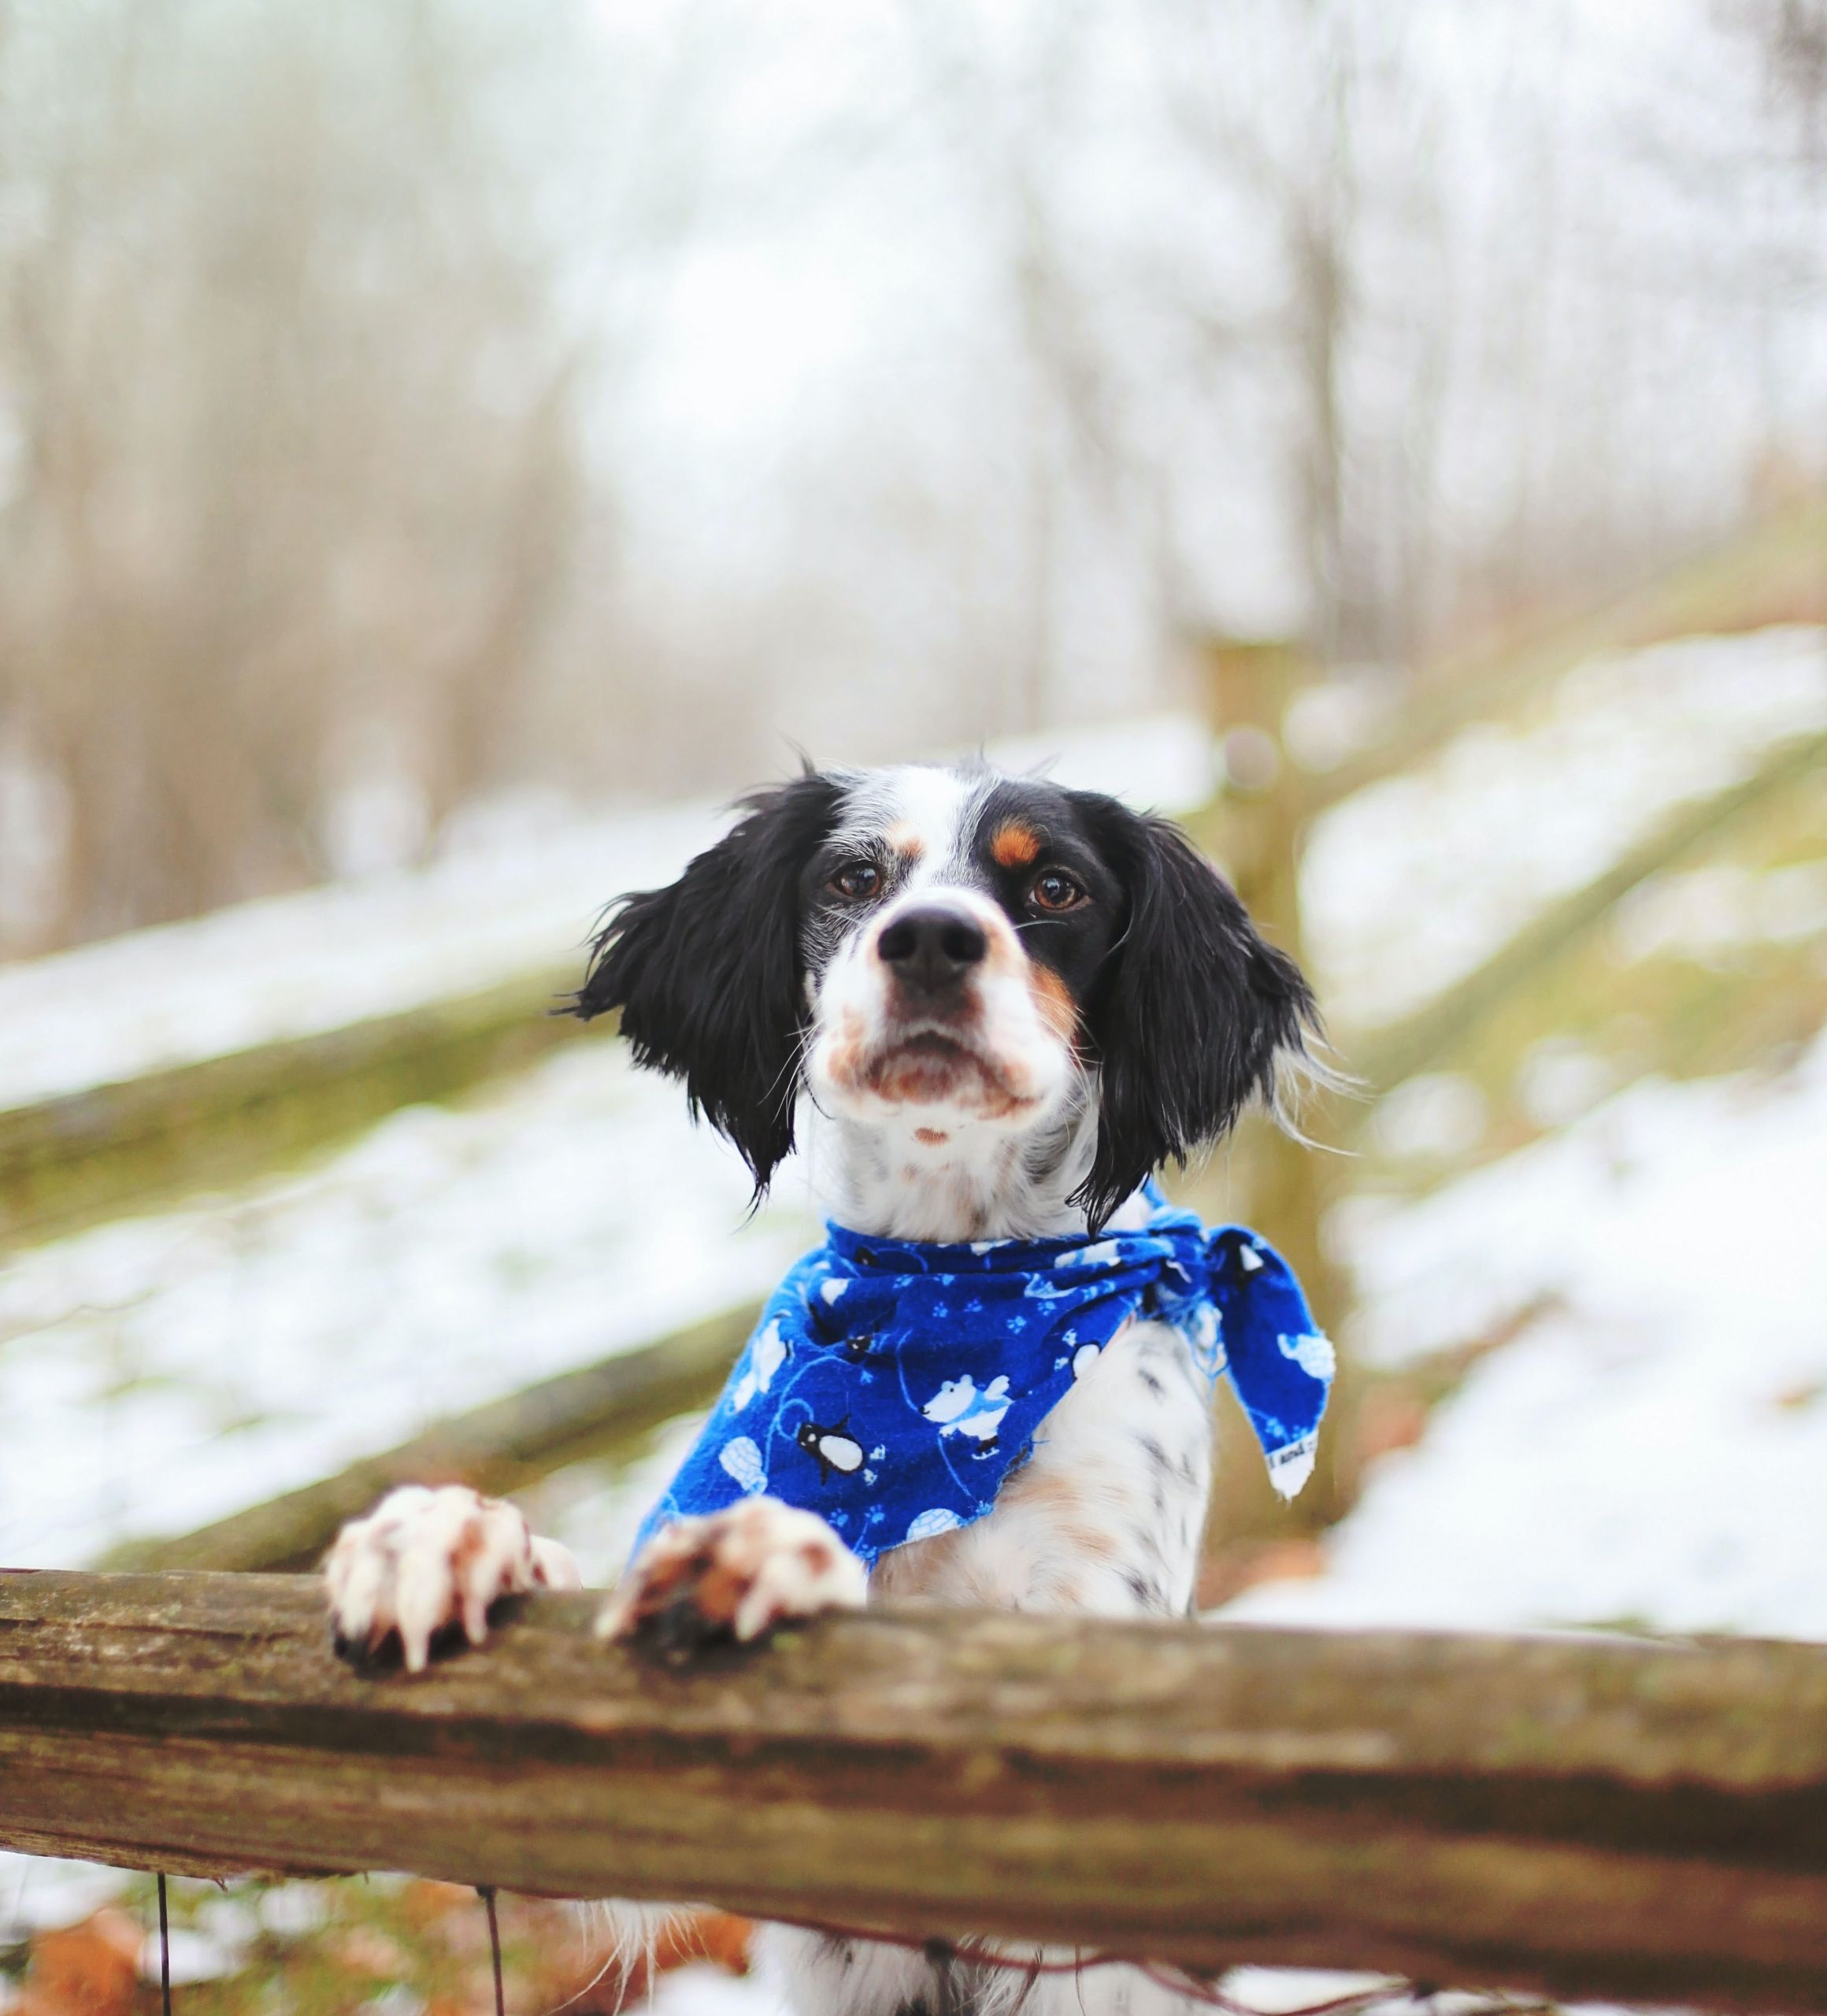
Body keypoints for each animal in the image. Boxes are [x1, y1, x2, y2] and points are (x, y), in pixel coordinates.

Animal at [326, 758, 1314, 2016]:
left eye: (1054, 885)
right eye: (852, 878)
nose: (932, 938)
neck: (953, 1313)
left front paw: (769, 1552)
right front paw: (441, 1539)